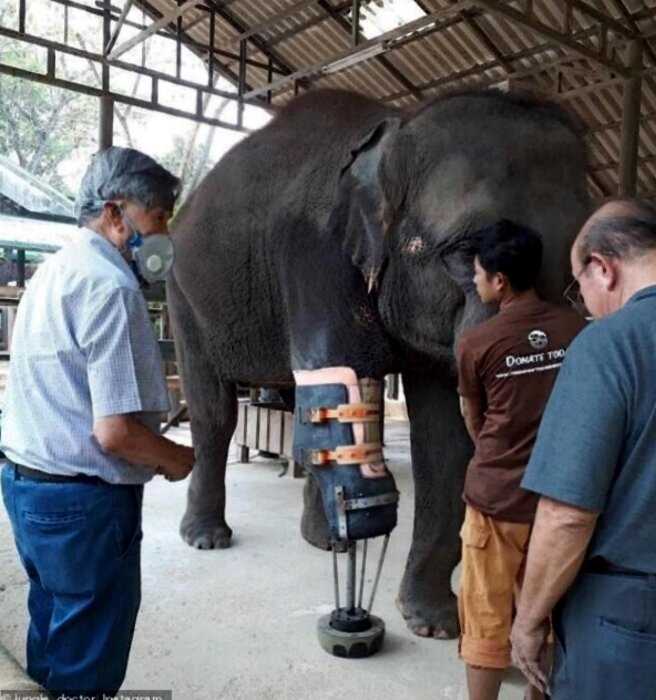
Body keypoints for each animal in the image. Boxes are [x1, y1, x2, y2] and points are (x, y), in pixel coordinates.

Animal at [168, 85, 588, 636]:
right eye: (466, 253)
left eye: (576, 274)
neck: (396, 128)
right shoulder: (313, 251)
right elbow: (343, 382)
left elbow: (443, 438)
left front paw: (433, 623)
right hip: (182, 295)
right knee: (215, 412)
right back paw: (208, 538)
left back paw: (324, 541)